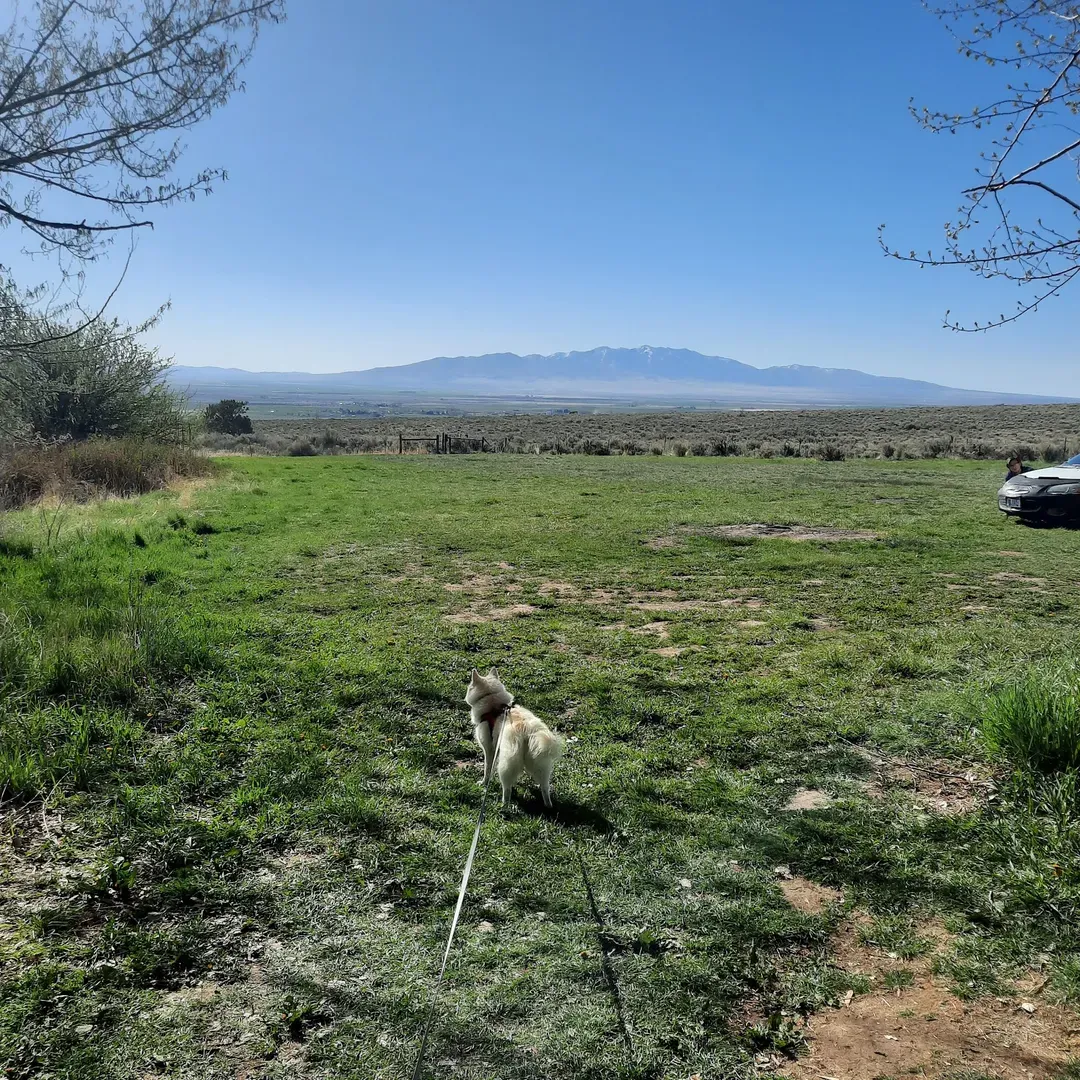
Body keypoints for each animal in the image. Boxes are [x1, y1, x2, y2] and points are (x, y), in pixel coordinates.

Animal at [464, 665, 565, 812]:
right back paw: (548, 805)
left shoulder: (489, 749)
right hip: (540, 764)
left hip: (506, 764)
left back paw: (503, 806)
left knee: (507, 789)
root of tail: (528, 729)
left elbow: (487, 769)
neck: (494, 705)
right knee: (545, 787)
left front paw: (484, 783)